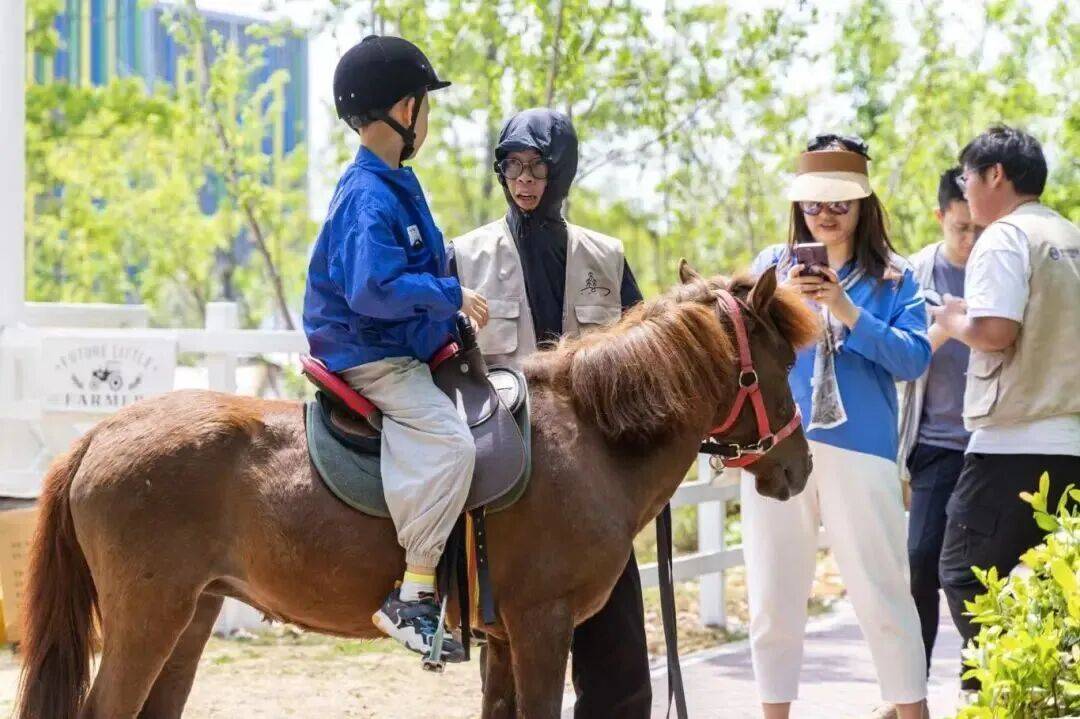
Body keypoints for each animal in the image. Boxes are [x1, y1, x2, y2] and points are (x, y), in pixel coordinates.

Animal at [15, 262, 819, 719]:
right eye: (781, 364)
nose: (799, 467)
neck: (587, 433)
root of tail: (99, 435)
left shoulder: (506, 639)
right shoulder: (542, 627)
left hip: (190, 618)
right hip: (148, 619)